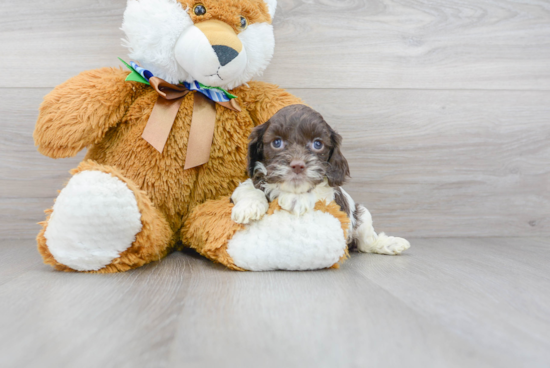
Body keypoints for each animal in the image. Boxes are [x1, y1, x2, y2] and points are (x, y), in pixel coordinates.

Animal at [231, 105, 412, 256]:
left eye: (317, 144)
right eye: (277, 142)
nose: (298, 165)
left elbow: (318, 190)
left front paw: (296, 199)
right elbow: (249, 188)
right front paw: (249, 207)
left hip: (362, 214)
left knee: (366, 242)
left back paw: (389, 244)